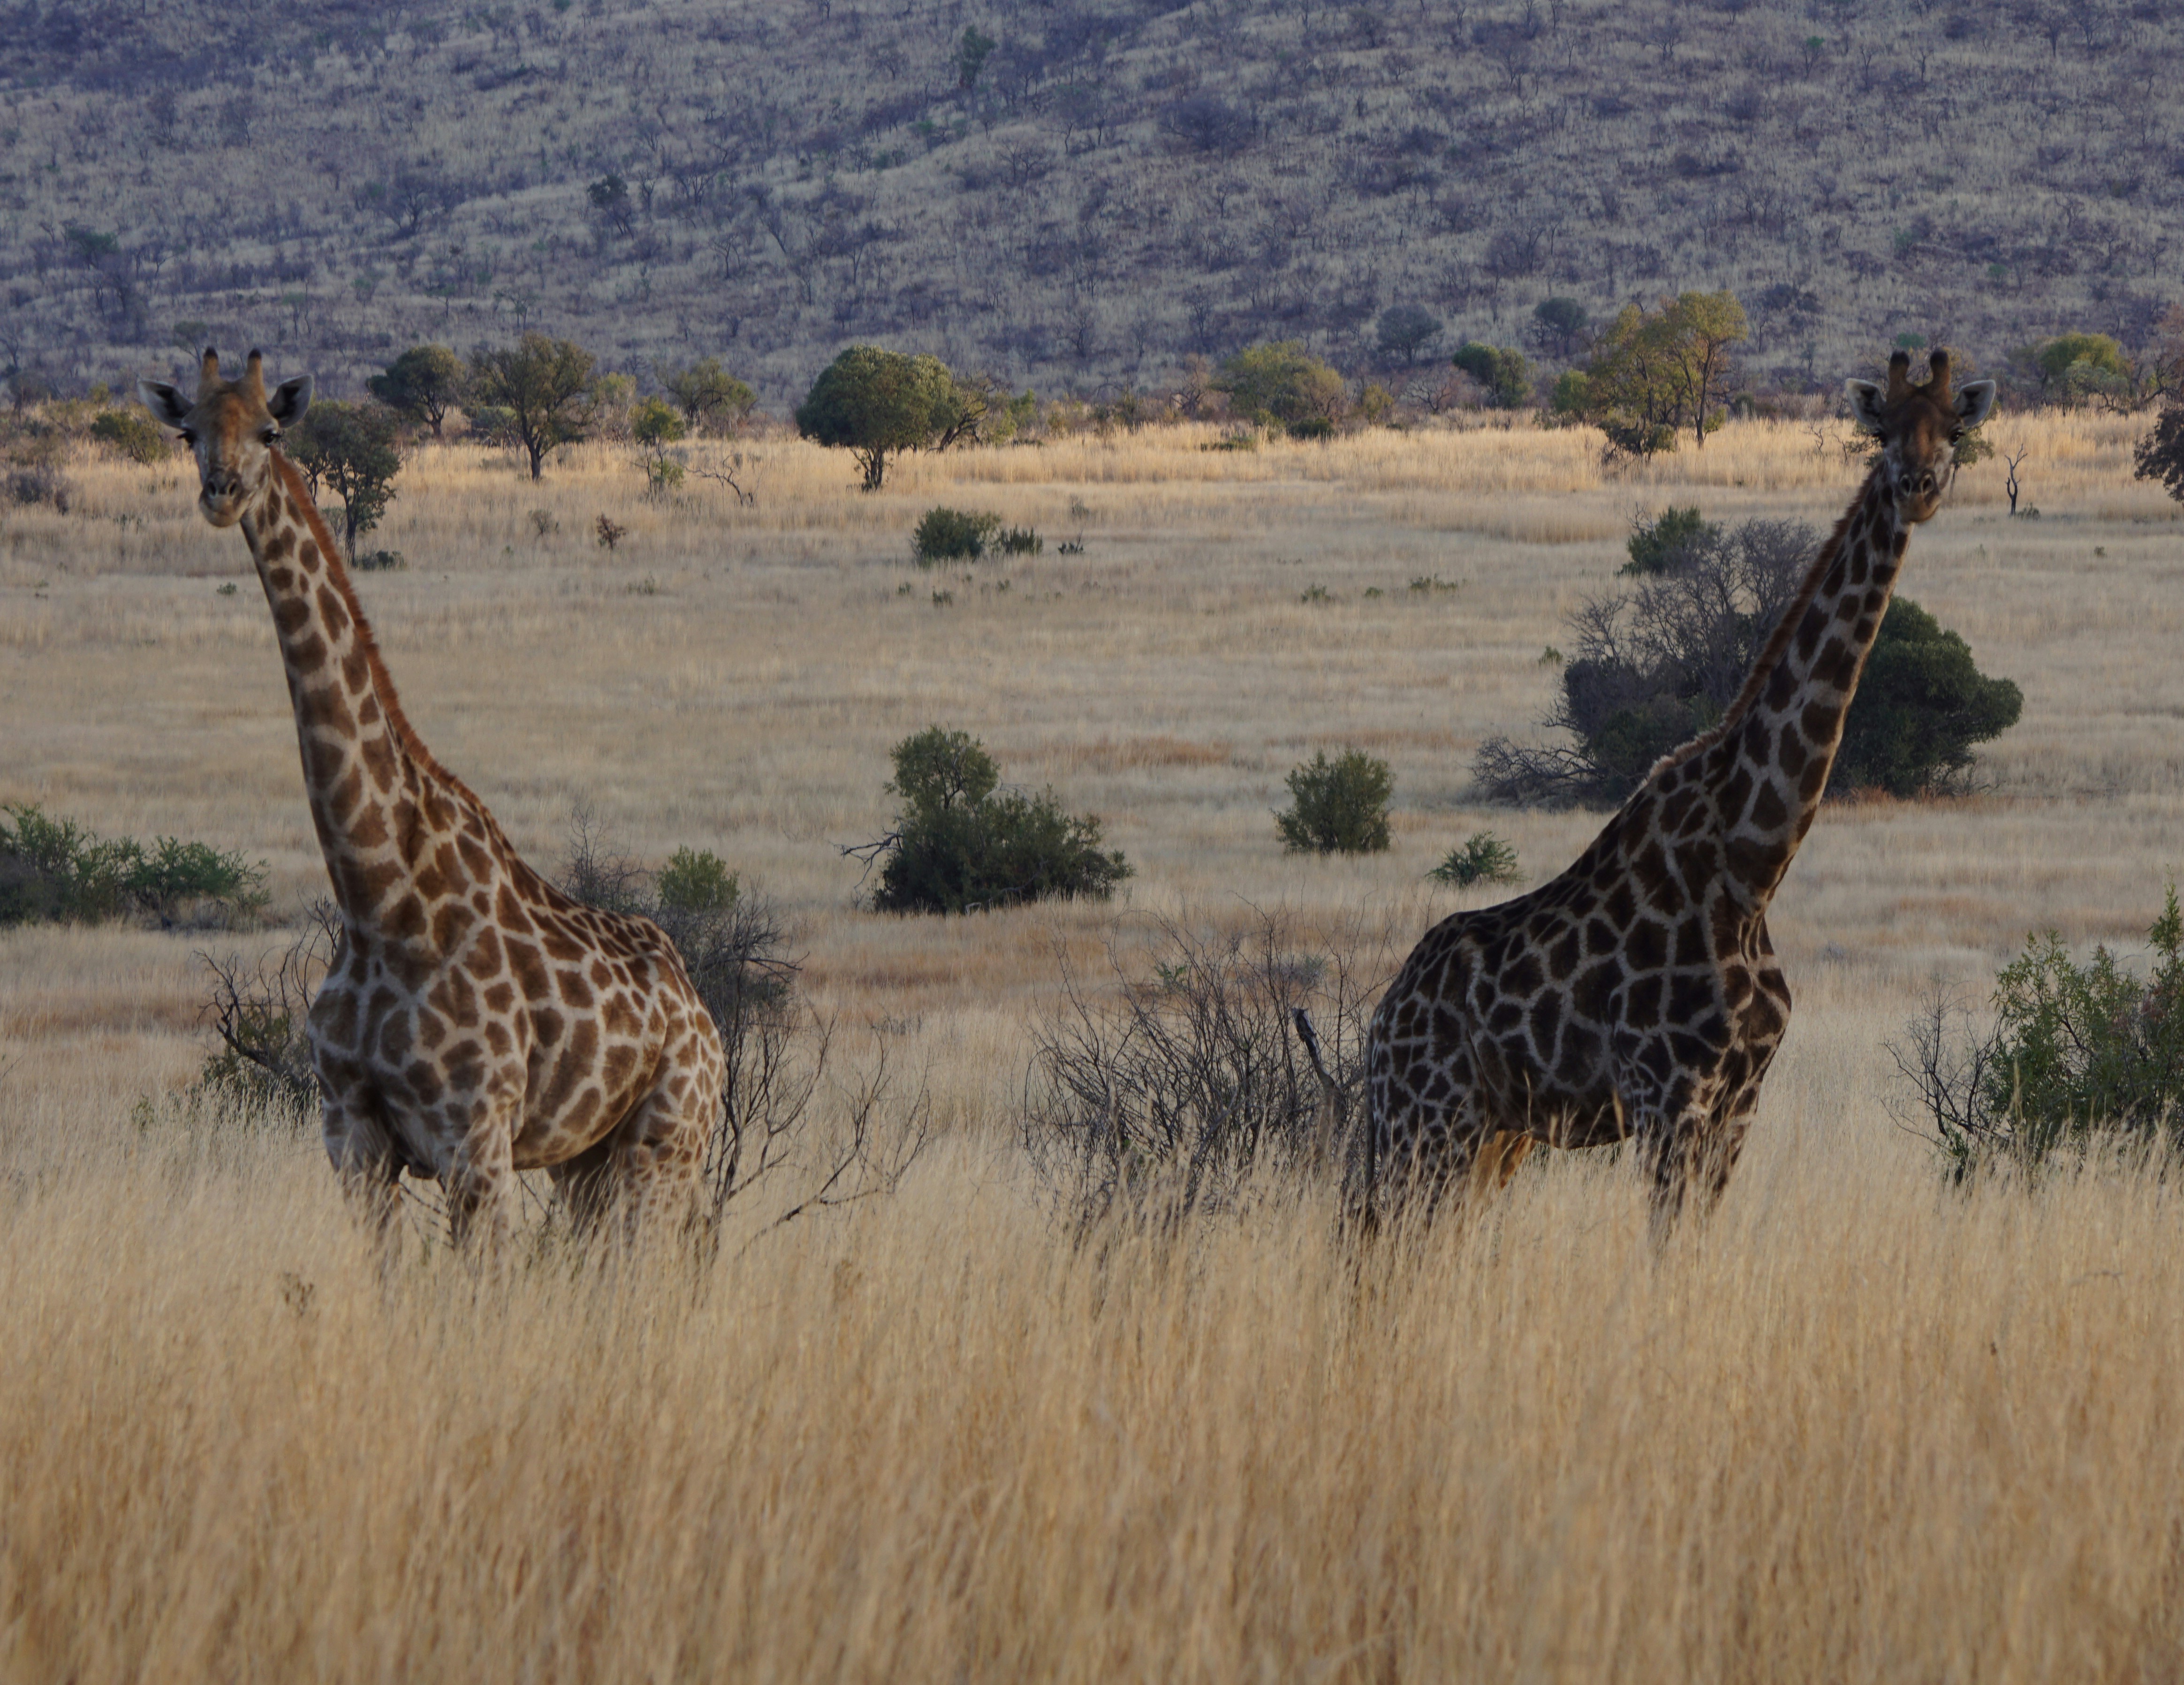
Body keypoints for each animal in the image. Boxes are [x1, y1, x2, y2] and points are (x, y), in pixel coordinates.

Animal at [140, 349, 725, 1245]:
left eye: (271, 431)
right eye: (188, 431)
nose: (222, 490)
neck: (381, 897)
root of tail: (703, 1015)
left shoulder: (474, 1137)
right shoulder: (351, 1136)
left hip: (667, 1141)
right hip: (586, 1160)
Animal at [1365, 350, 1996, 1225]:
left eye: (1956, 429)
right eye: (1883, 430)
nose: (1919, 483)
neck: (1752, 863)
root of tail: (1381, 1019)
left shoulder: (1739, 1100)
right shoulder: (1667, 1092)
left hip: (1495, 1134)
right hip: (1426, 1116)